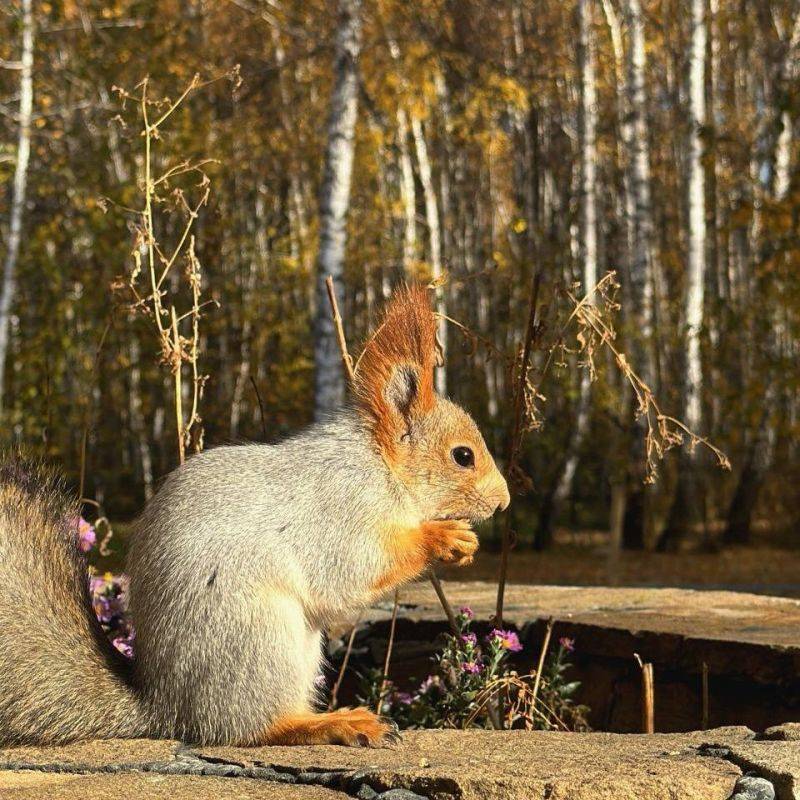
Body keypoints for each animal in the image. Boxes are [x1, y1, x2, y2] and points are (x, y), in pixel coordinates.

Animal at [0, 288, 510, 752]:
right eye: (462, 456)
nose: (503, 503)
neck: (379, 466)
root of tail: (167, 707)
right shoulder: (338, 511)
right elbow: (352, 569)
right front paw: (444, 538)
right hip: (259, 637)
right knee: (250, 729)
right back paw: (332, 723)